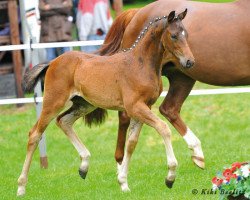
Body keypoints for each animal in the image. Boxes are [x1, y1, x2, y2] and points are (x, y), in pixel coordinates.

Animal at [17, 9, 194, 195]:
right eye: (173, 35)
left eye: (186, 34)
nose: (190, 61)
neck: (141, 64)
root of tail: (52, 62)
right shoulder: (135, 107)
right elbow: (163, 128)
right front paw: (170, 176)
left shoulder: (144, 106)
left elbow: (131, 143)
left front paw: (123, 182)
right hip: (53, 102)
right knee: (35, 134)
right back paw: (21, 186)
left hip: (84, 104)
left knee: (63, 121)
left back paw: (84, 165)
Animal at [92, 0, 250, 170]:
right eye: (173, 36)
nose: (190, 60)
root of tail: (136, 13)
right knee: (126, 117)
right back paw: (121, 164)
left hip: (182, 77)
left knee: (169, 109)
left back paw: (197, 153)